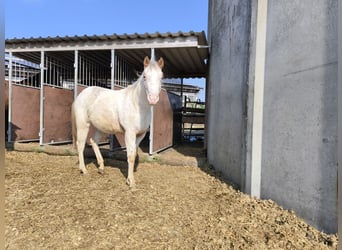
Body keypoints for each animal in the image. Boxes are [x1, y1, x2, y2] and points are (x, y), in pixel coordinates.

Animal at [71, 55, 164, 188]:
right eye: (145, 76)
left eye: (161, 77)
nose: (153, 99)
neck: (137, 104)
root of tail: (81, 95)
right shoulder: (129, 133)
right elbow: (130, 156)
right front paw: (131, 183)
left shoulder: (140, 135)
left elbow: (134, 153)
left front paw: (129, 179)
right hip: (83, 125)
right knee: (81, 144)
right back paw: (84, 170)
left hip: (100, 128)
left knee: (93, 141)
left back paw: (101, 168)